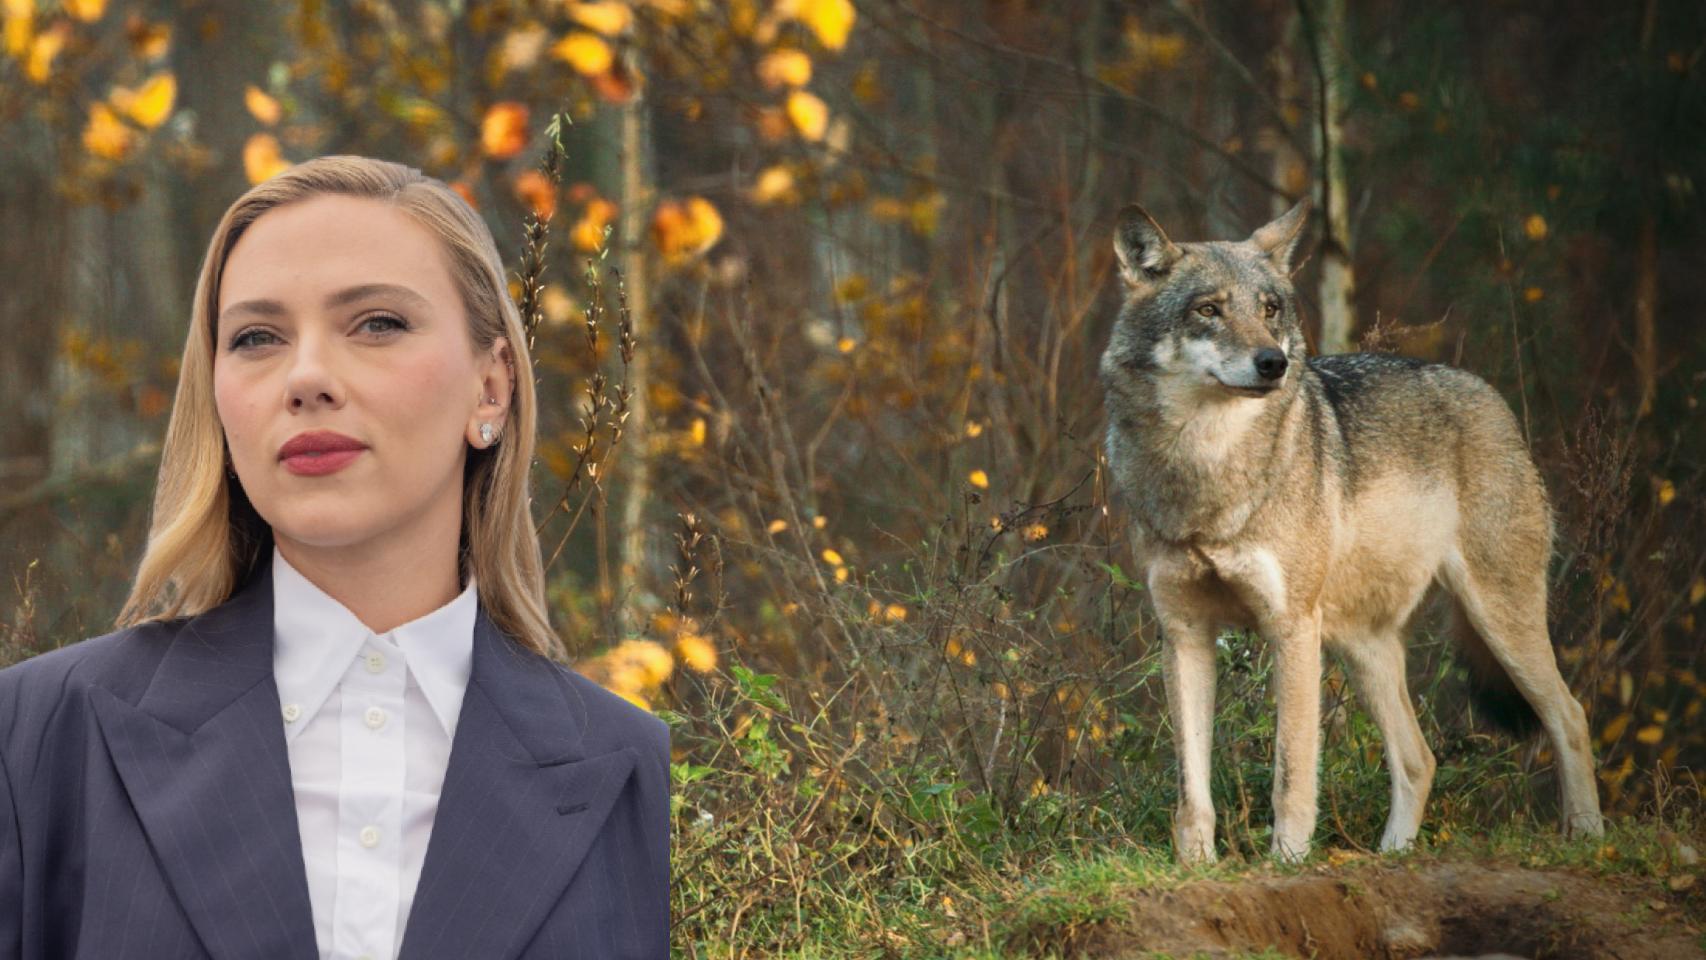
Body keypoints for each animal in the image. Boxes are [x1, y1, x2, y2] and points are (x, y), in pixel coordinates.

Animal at [1098, 200, 1605, 863]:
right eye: (1208, 310)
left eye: (1270, 309)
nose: (1274, 363)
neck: (1206, 468)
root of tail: (1490, 395)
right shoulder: (1184, 634)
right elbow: (1191, 790)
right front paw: (1197, 867)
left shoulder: (1291, 628)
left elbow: (1291, 771)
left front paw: (1286, 862)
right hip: (1362, 647)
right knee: (1420, 758)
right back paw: (1393, 855)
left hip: (1498, 618)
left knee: (1570, 715)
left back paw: (1588, 836)